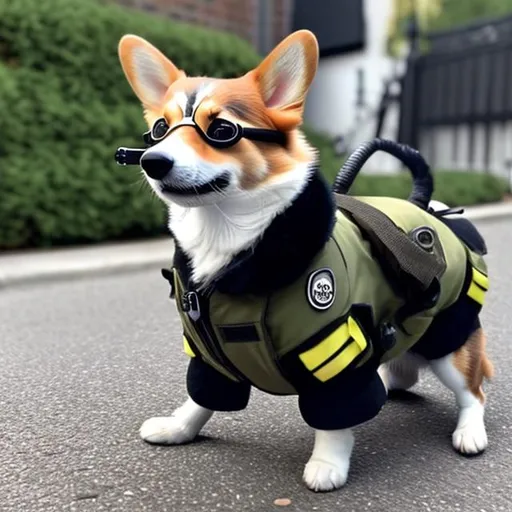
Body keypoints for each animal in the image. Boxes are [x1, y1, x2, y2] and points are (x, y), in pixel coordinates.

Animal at [116, 31, 492, 492]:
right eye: (159, 130)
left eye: (221, 130)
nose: (152, 161)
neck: (229, 237)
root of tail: (424, 205)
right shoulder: (210, 357)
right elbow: (199, 398)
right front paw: (179, 428)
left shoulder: (335, 354)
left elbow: (334, 421)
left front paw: (328, 463)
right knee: (404, 368)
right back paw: (390, 382)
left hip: (449, 336)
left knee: (472, 389)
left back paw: (470, 431)